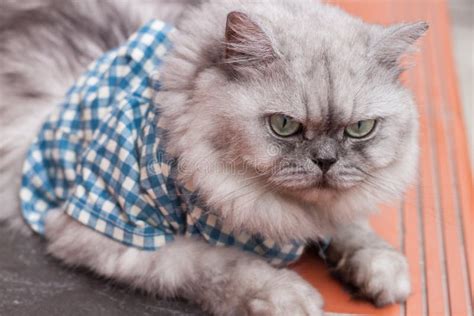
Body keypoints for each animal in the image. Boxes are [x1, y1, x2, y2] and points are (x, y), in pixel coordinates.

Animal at [0, 0, 428, 316]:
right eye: (284, 125)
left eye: (360, 129)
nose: (325, 161)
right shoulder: (107, 230)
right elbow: (218, 262)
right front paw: (283, 295)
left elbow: (353, 229)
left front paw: (381, 268)